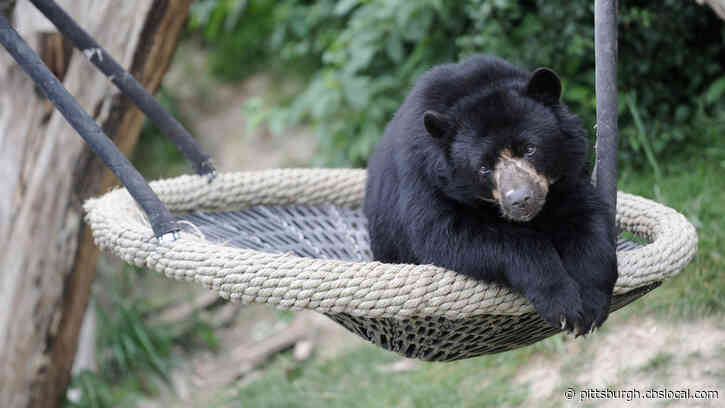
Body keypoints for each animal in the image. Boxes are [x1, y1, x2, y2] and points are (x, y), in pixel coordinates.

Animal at [364, 55, 618, 335]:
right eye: (483, 167)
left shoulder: (568, 172)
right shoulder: (425, 179)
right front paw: (562, 306)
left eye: (530, 148)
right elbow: (447, 235)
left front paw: (591, 306)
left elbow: (586, 219)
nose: (521, 200)